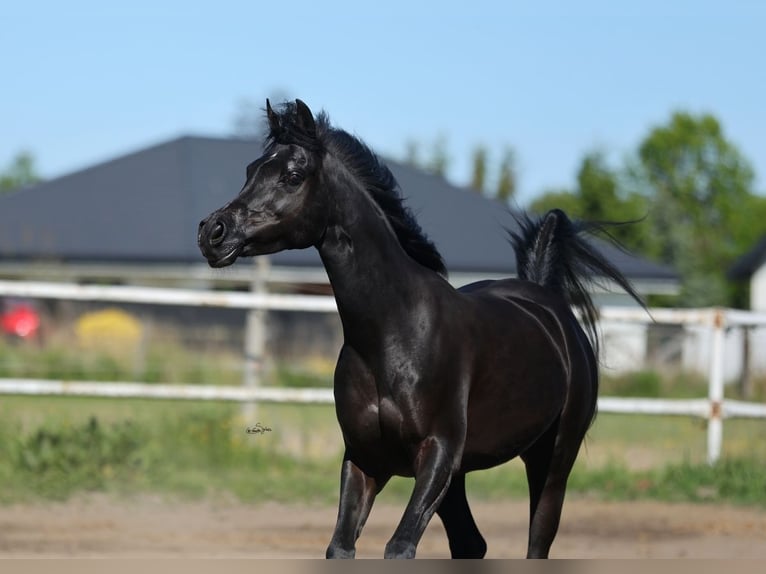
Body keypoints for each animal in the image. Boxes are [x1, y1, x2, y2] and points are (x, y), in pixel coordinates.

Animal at [198, 99, 644, 559]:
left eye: (292, 175)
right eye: (251, 169)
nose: (213, 232)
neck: (392, 334)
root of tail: (548, 303)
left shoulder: (437, 455)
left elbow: (399, 547)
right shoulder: (365, 460)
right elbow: (340, 547)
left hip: (552, 460)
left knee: (536, 539)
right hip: (463, 476)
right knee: (471, 543)